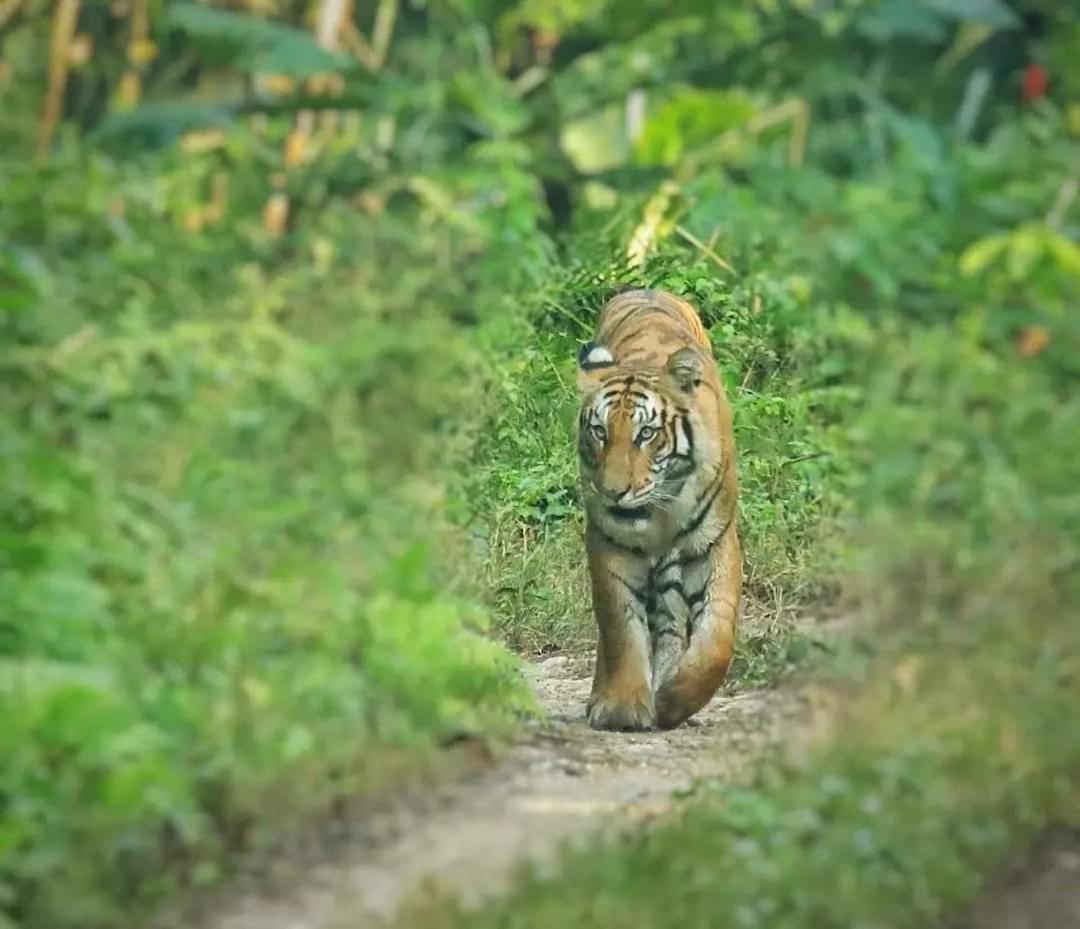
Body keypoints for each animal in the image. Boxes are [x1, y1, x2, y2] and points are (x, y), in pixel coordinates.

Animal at [574, 287, 743, 730]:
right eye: (599, 432)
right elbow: (620, 630)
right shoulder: (609, 543)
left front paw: (674, 701)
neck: (662, 511)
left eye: (646, 434)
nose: (612, 491)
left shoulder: (715, 542)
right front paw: (622, 706)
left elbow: (717, 638)